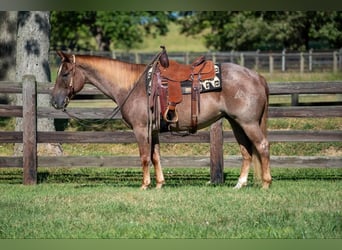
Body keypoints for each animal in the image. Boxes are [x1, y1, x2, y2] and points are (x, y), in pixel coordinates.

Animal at [50, 49, 272, 189]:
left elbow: (144, 156)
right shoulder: (153, 130)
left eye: (65, 74)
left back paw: (266, 183)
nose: (54, 101)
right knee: (246, 151)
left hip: (248, 123)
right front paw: (159, 184)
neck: (133, 85)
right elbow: (156, 156)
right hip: (236, 123)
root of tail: (257, 77)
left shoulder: (141, 129)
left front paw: (145, 185)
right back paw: (240, 184)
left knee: (262, 146)